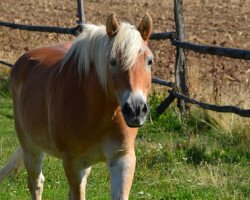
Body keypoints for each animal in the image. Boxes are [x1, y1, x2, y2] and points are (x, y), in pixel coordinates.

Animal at [0, 13, 153, 199]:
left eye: (149, 61)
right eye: (112, 62)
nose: (135, 110)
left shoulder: (123, 160)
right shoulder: (73, 163)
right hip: (31, 147)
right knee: (36, 183)